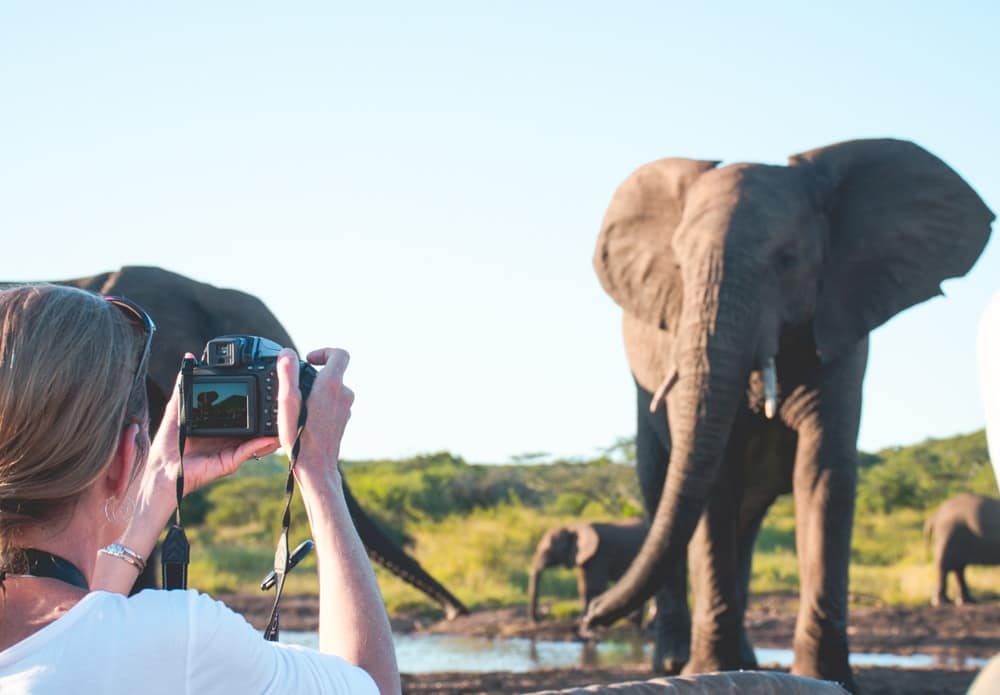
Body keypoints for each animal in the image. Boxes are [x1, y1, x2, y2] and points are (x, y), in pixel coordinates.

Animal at [584, 136, 996, 692]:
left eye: (787, 259)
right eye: (680, 265)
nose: (590, 619)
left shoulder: (843, 323)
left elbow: (821, 476)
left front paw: (828, 677)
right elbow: (715, 483)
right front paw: (705, 669)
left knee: (745, 518)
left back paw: (739, 661)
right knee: (659, 489)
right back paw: (675, 665)